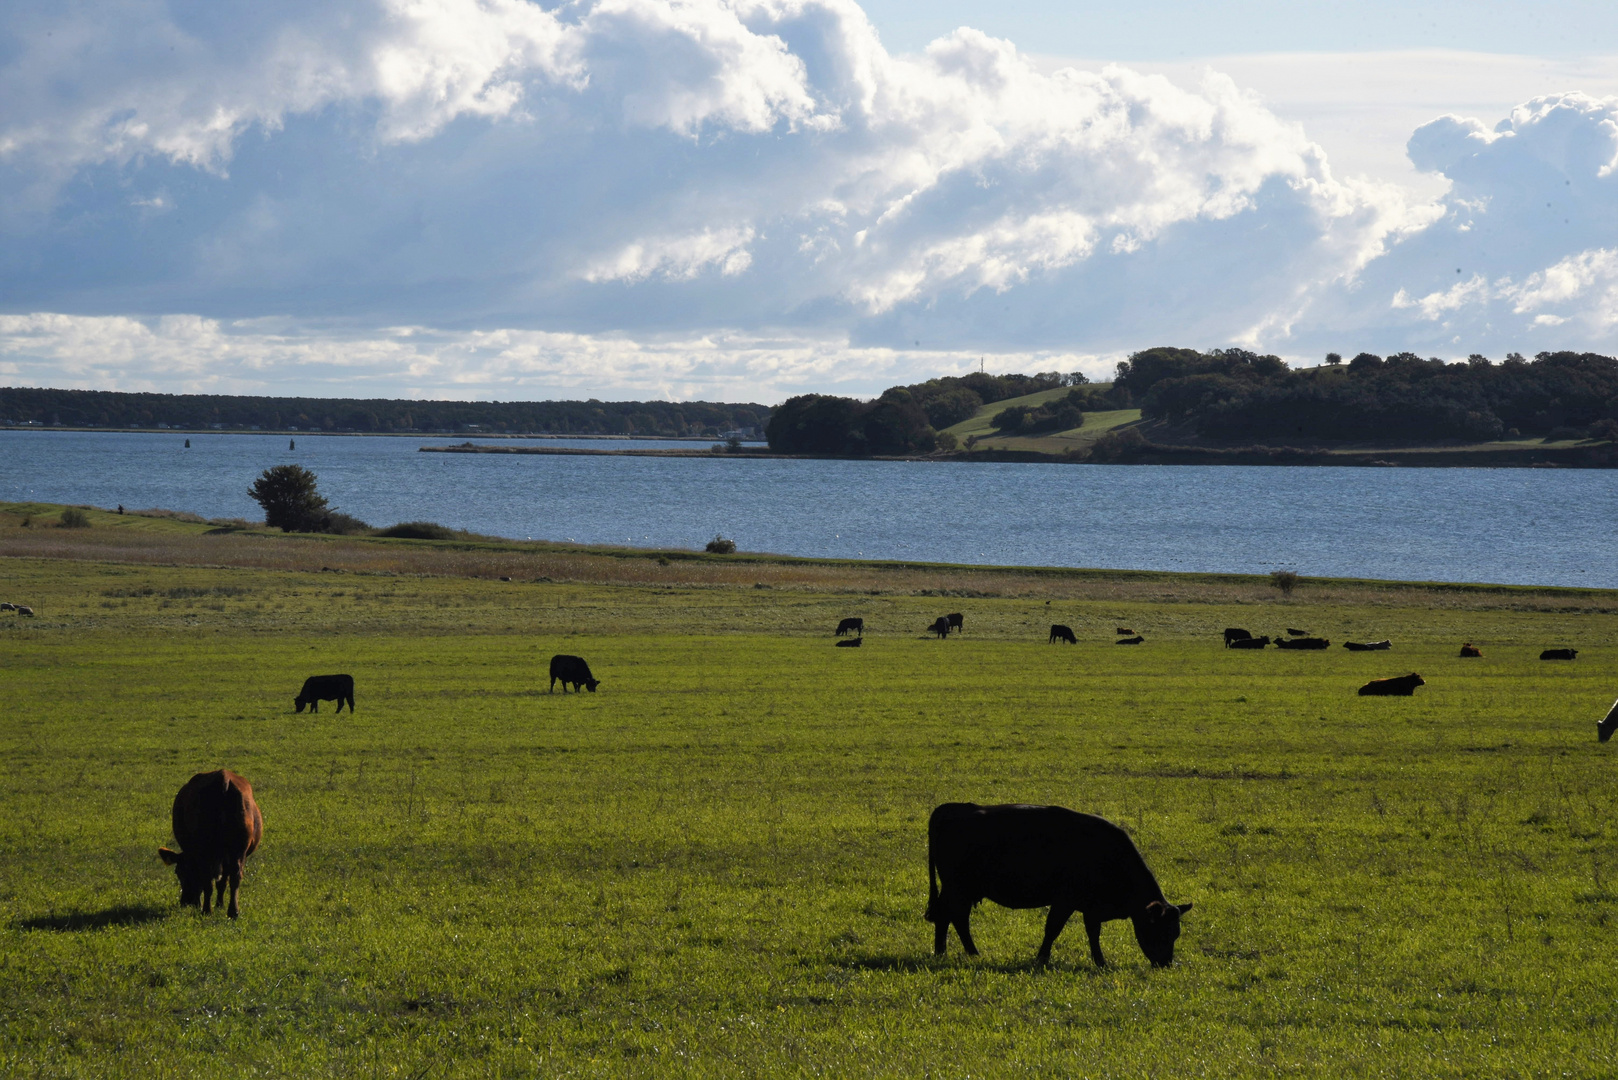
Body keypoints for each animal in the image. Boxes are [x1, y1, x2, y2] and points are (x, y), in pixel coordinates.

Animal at [156, 767, 262, 919]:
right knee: (235, 876)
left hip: (206, 850)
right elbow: (223, 881)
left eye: (178, 872)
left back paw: (206, 910)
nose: (185, 902)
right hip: (238, 849)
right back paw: (233, 912)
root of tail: (223, 778)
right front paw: (219, 904)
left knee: (208, 879)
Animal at [931, 803, 1197, 971]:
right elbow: (1053, 929)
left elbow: (1093, 933)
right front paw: (1041, 959)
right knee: (951, 917)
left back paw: (950, 952)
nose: (1165, 964)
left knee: (952, 918)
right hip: (957, 888)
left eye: (1176, 933)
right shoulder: (1065, 900)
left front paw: (1100, 962)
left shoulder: (1091, 907)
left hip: (960, 890)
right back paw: (955, 953)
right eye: (1160, 930)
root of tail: (952, 807)